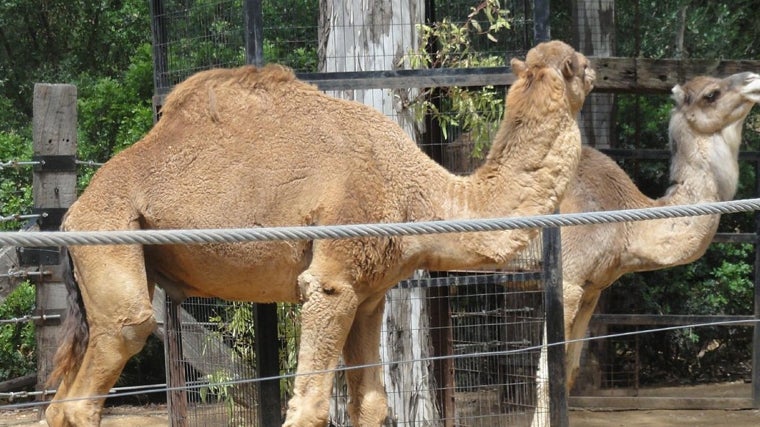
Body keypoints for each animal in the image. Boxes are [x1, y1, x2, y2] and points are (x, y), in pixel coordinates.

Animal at [44, 41, 596, 427]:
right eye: (575, 63)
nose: (595, 67)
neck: (417, 192)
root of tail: (73, 215)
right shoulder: (331, 282)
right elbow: (308, 407)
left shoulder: (369, 295)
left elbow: (371, 404)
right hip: (111, 240)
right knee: (102, 368)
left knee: (58, 402)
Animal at [532, 72, 760, 426]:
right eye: (711, 94)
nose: (753, 79)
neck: (627, 221)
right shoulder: (567, 279)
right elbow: (547, 375)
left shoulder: (591, 288)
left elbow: (569, 370)